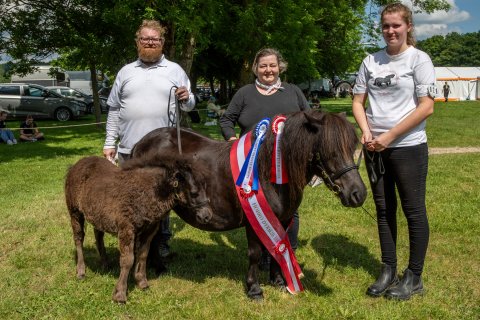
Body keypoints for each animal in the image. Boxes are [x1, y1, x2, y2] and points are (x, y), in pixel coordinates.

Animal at [64, 154, 211, 302]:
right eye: (194, 192)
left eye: (206, 187)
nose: (207, 216)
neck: (147, 193)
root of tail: (75, 165)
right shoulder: (126, 229)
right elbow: (128, 260)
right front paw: (120, 294)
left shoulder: (149, 229)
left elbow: (143, 255)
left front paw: (142, 282)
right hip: (75, 212)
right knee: (79, 238)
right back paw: (81, 271)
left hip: (97, 215)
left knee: (98, 236)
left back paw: (105, 264)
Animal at [132, 110, 368, 300]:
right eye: (330, 151)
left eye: (351, 148)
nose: (358, 194)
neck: (269, 172)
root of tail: (140, 144)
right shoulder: (253, 221)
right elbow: (255, 254)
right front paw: (254, 289)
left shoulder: (282, 220)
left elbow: (278, 247)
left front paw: (279, 281)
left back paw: (159, 267)